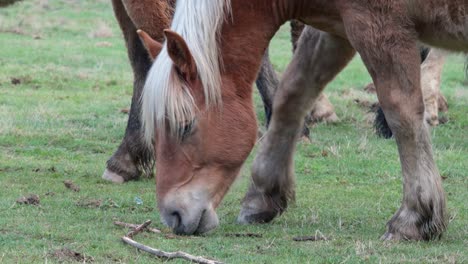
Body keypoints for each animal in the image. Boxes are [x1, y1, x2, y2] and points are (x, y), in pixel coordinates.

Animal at [144, 0, 468, 239]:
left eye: (185, 125)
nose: (172, 215)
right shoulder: (336, 29)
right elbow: (292, 94)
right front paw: (264, 195)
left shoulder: (380, 29)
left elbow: (402, 113)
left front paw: (414, 218)